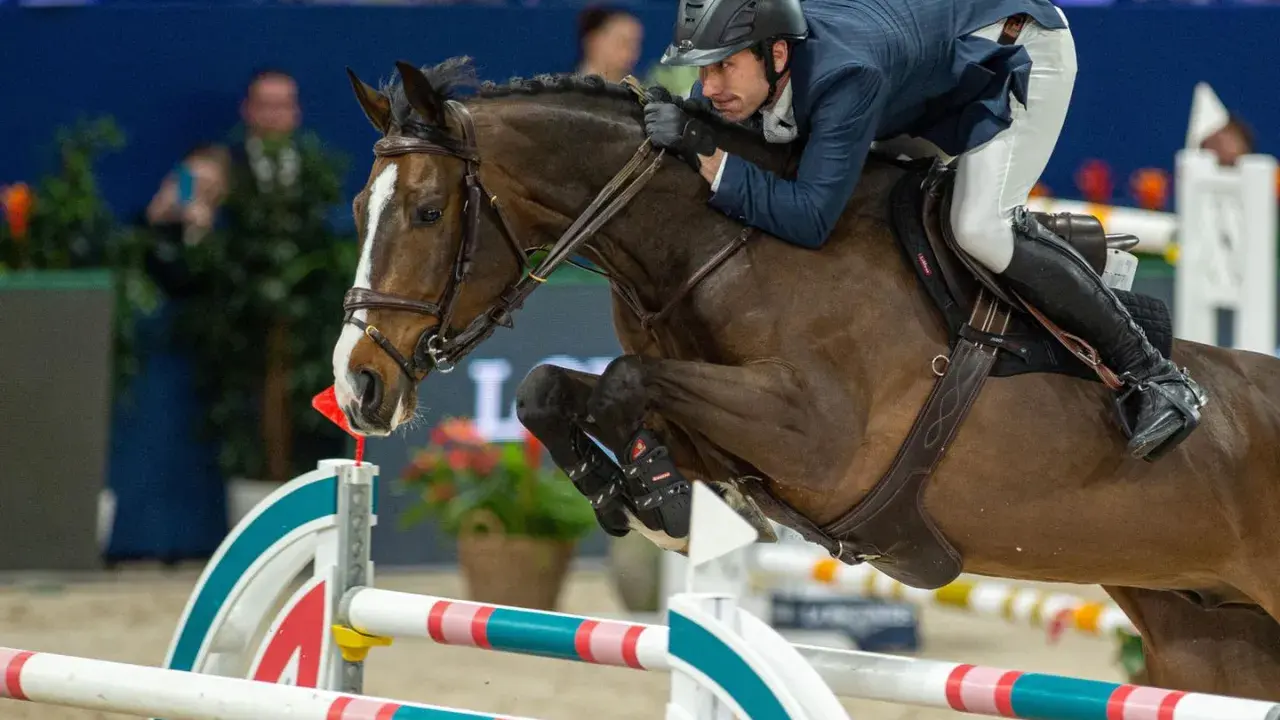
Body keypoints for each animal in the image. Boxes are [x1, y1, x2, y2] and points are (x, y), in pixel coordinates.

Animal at [330, 57, 1280, 700]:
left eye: (428, 212)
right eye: (357, 210)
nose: (357, 386)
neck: (721, 241)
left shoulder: (818, 439)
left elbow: (623, 380)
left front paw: (664, 507)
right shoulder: (722, 426)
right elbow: (551, 389)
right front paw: (635, 493)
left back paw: (1164, 399)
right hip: (1212, 640)